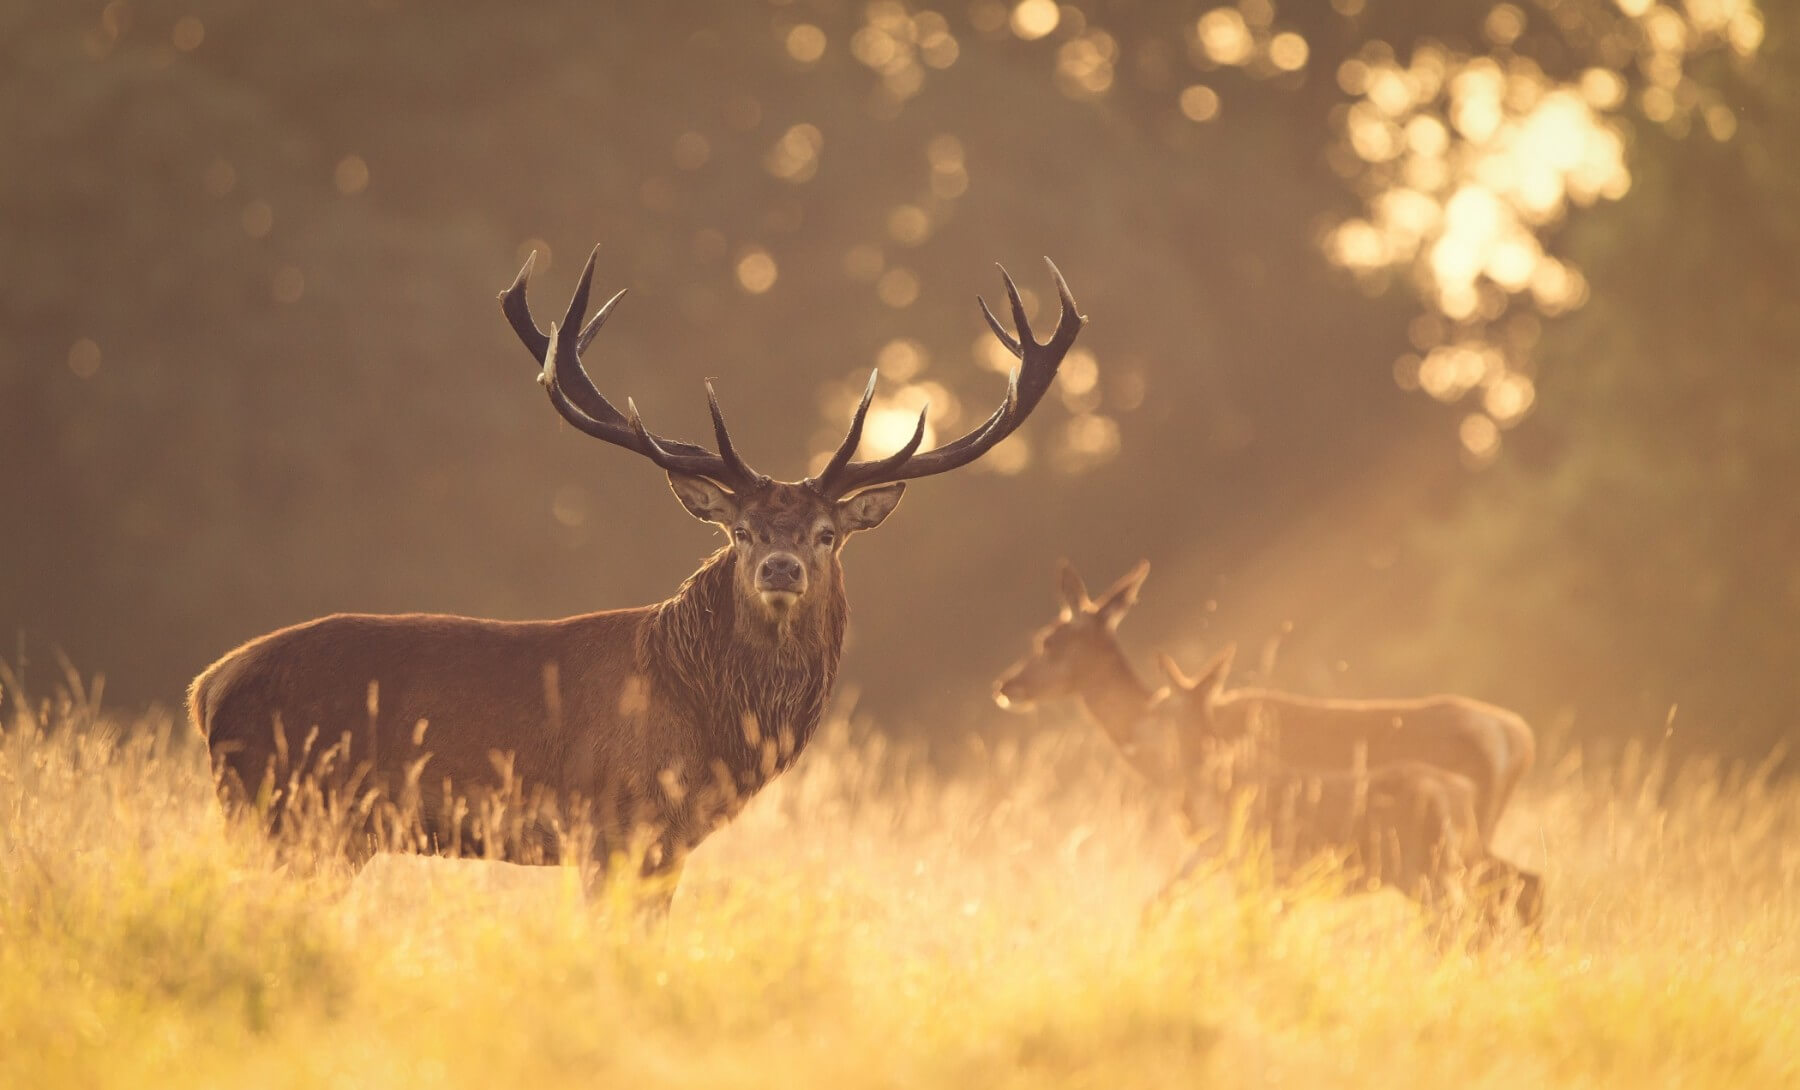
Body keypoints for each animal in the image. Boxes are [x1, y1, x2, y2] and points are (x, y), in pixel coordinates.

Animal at [192, 245, 1086, 904]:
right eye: (741, 531)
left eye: (829, 534)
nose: (782, 566)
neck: (710, 724)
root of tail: (208, 686)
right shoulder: (613, 824)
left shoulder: (666, 842)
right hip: (281, 811)